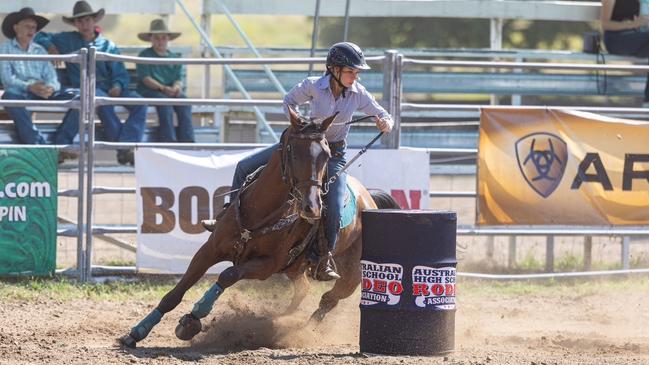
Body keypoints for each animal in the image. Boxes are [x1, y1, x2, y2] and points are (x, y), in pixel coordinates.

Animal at [119, 107, 398, 346]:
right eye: (293, 152)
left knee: (327, 300)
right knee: (303, 291)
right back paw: (278, 319)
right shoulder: (209, 250)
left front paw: (193, 318)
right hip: (294, 267)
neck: (259, 212)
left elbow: (227, 275)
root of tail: (369, 197)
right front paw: (137, 332)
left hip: (351, 274)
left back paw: (298, 330)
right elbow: (175, 293)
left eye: (327, 155)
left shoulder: (267, 265)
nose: (312, 208)